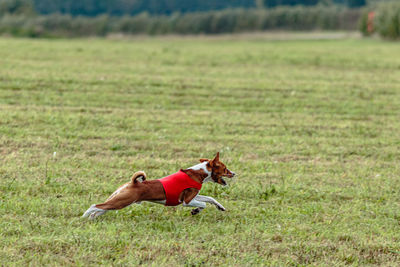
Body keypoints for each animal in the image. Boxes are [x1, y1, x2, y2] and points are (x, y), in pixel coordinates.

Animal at [82, 153, 236, 220]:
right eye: (225, 168)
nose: (234, 173)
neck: (198, 173)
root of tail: (133, 182)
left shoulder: (194, 196)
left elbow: (210, 199)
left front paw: (220, 207)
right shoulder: (187, 201)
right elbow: (203, 204)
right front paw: (195, 211)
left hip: (117, 201)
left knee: (100, 209)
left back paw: (91, 219)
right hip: (121, 201)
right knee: (95, 206)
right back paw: (84, 217)